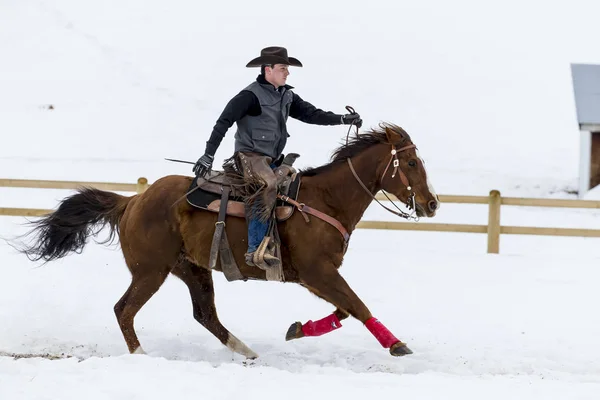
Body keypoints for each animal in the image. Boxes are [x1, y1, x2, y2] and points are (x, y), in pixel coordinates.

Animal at [18, 122, 438, 360]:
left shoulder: (316, 276)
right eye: (411, 163)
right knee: (124, 310)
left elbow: (346, 309)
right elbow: (359, 306)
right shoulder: (318, 272)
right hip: (150, 271)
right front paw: (397, 345)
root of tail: (132, 201)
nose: (432, 203)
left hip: (191, 269)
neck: (323, 200)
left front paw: (298, 329)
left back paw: (247, 352)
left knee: (205, 315)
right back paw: (140, 356)